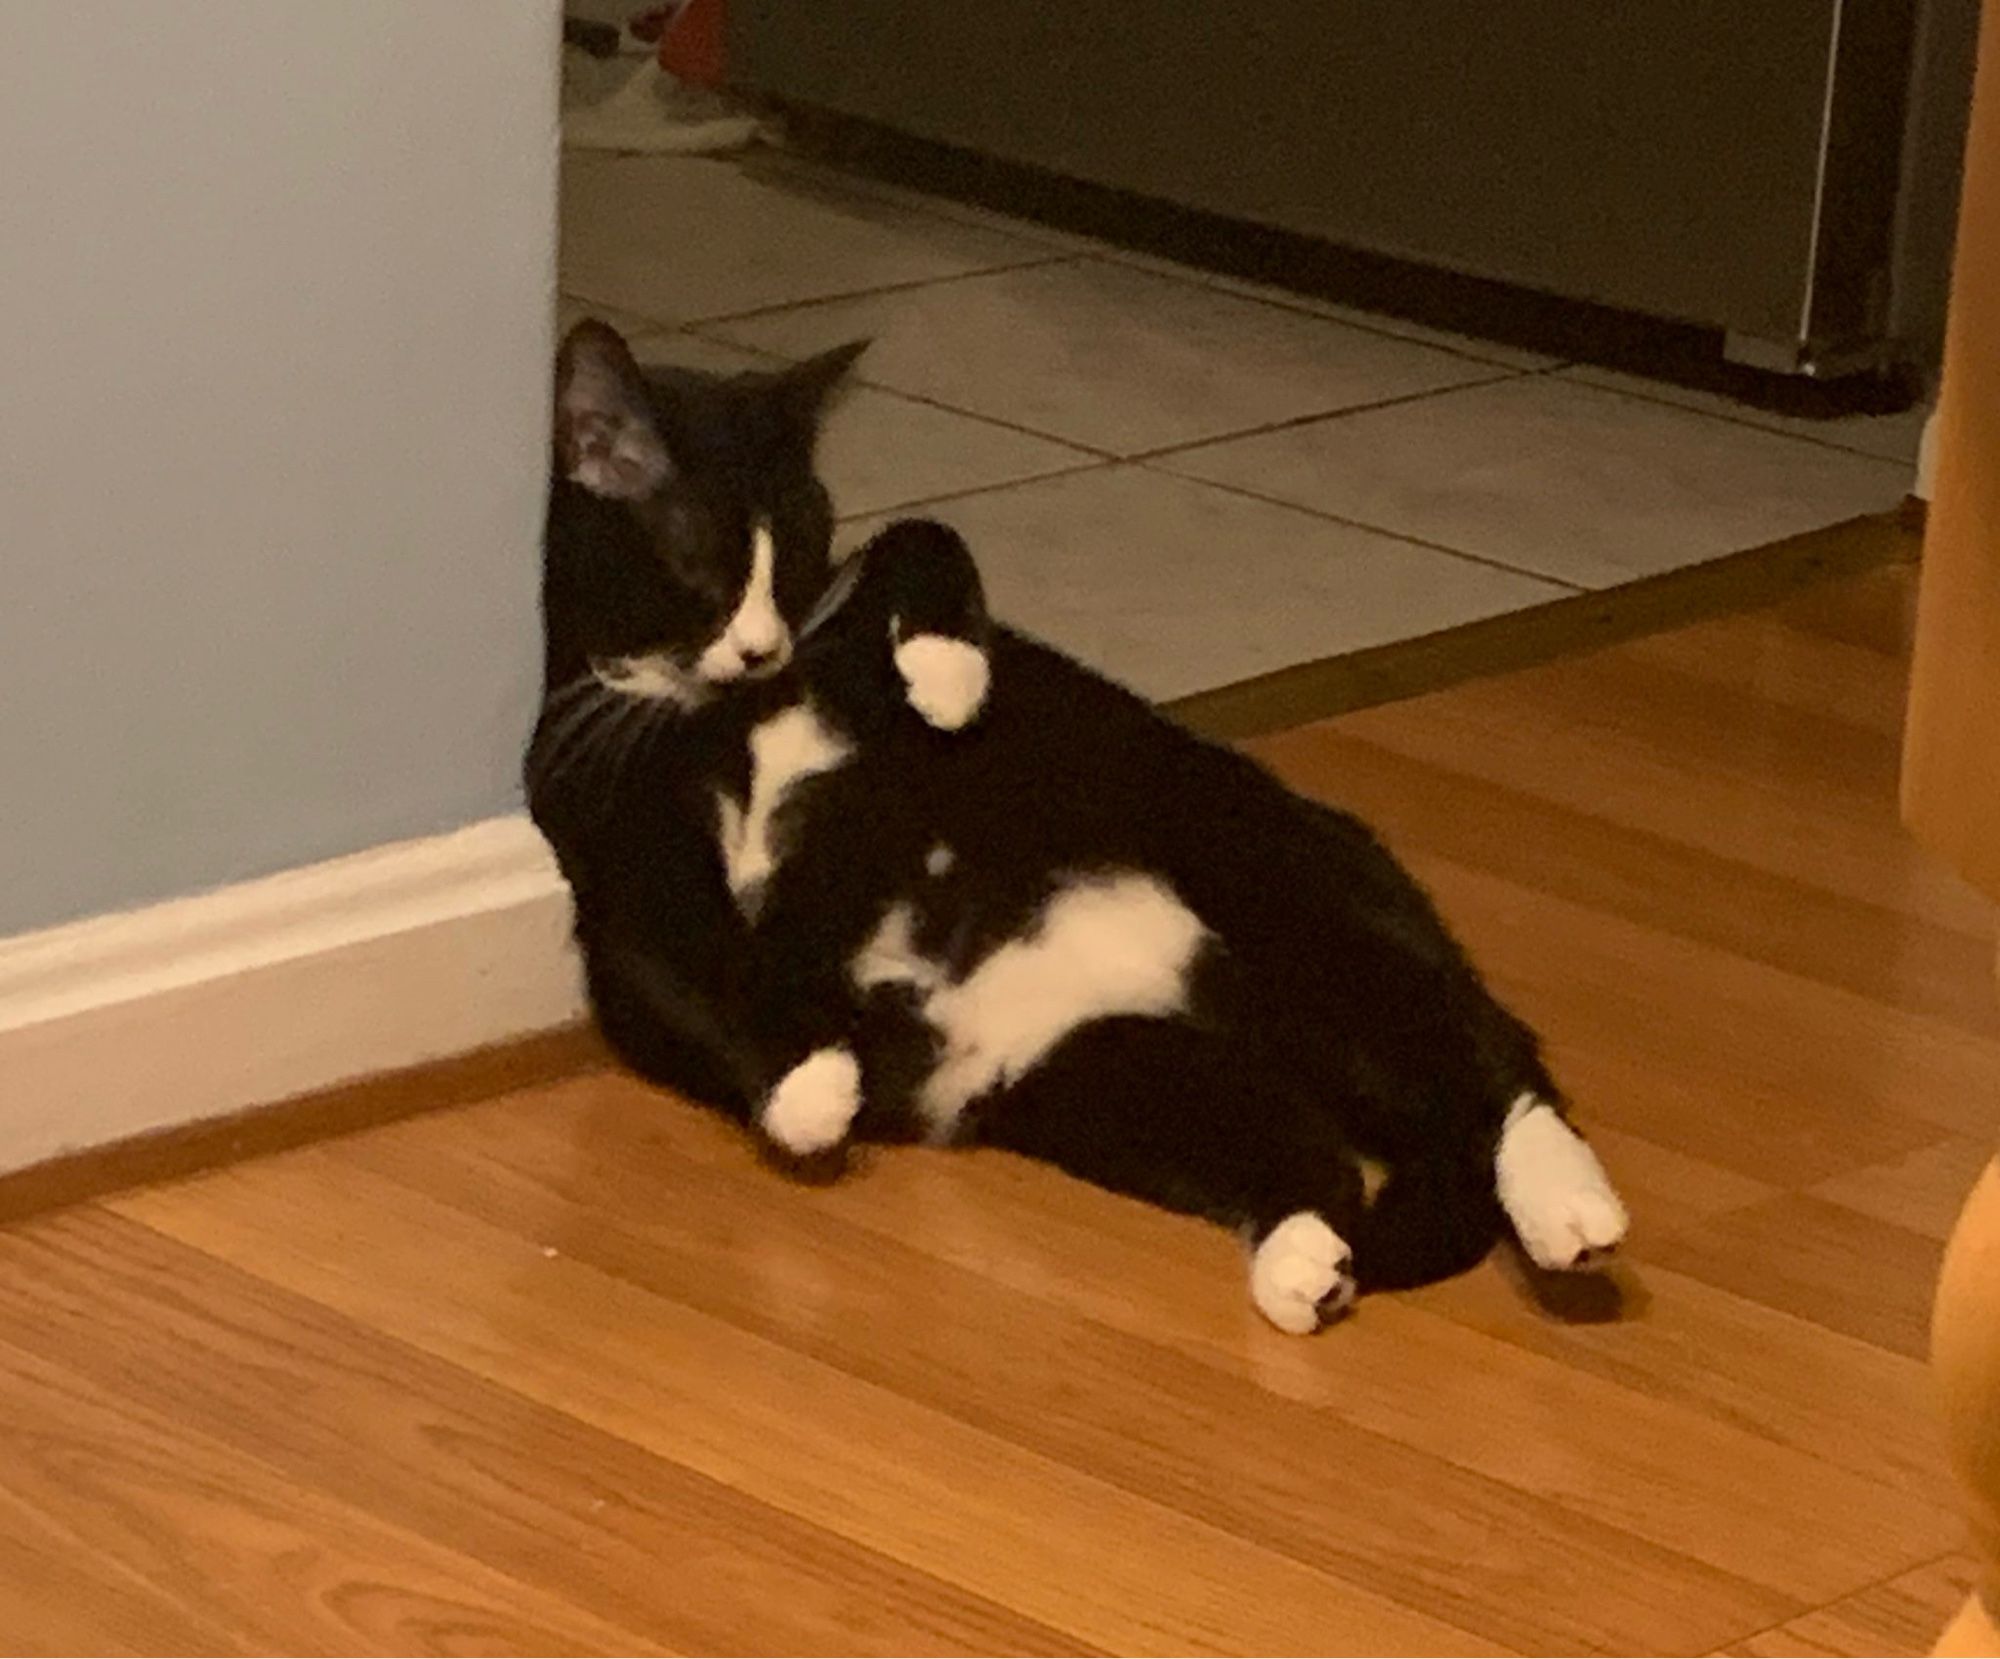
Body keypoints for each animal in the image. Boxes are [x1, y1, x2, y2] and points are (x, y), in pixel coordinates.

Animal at [532, 321, 1624, 1335]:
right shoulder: (619, 861)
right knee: (1309, 1152)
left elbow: (919, 533)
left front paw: (947, 672)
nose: (763, 645)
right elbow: (684, 969)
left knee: (1491, 1064)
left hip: (1287, 895)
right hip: (1116, 1077)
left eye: (797, 552)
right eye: (695, 562)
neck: (736, 714)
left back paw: (1568, 1210)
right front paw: (809, 1091)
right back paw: (1306, 1264)